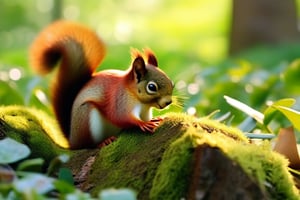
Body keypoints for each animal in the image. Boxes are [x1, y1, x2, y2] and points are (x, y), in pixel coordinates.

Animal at [29, 21, 175, 149]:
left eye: (172, 84)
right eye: (152, 87)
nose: (168, 102)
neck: (142, 103)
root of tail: (72, 141)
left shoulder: (144, 111)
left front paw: (154, 119)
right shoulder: (120, 100)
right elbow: (121, 117)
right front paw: (143, 123)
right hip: (86, 118)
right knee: (88, 145)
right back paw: (103, 142)